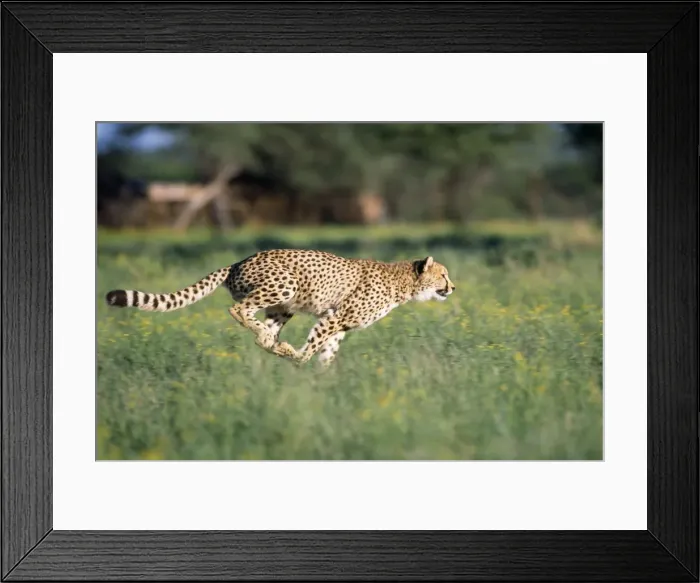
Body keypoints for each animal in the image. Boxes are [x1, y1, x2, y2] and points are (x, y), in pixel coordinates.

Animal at [105, 249, 456, 367]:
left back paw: (274, 343)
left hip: (283, 306)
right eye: (443, 275)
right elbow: (314, 345)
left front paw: (325, 381)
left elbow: (327, 350)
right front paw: (301, 360)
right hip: (285, 284)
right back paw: (277, 344)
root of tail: (238, 261)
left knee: (264, 332)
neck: (404, 283)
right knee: (239, 311)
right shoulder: (335, 316)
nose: (452, 287)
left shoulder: (339, 324)